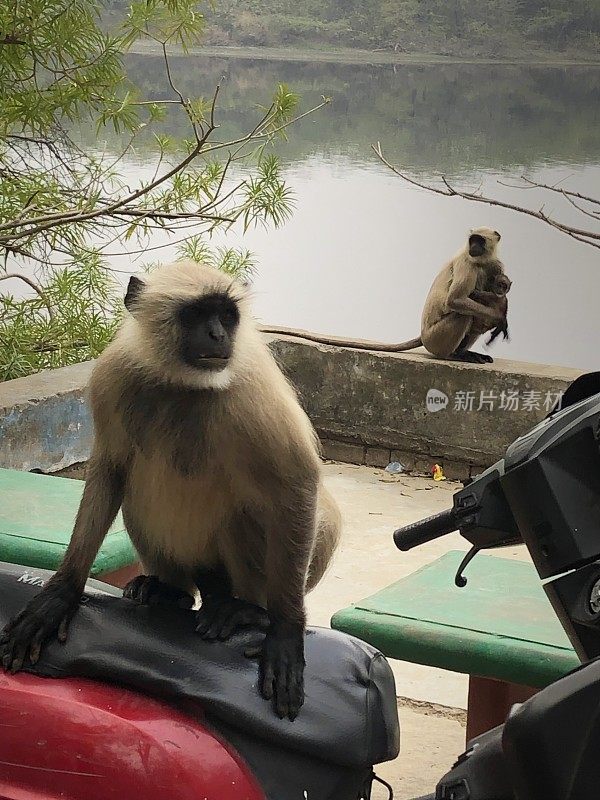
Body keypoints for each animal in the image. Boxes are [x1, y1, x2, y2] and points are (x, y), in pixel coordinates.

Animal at [0, 260, 340, 720]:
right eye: (197, 315)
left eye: (227, 316)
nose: (218, 335)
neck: (183, 383)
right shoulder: (114, 375)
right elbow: (110, 470)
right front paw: (62, 592)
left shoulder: (252, 382)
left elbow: (298, 482)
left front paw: (286, 634)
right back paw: (170, 590)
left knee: (254, 509)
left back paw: (245, 610)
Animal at [262, 223, 506, 364]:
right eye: (472, 240)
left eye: (480, 241)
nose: (474, 246)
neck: (480, 259)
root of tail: (423, 336)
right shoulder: (468, 264)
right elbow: (455, 300)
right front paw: (499, 318)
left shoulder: (494, 264)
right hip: (437, 338)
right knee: (465, 314)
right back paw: (454, 355)